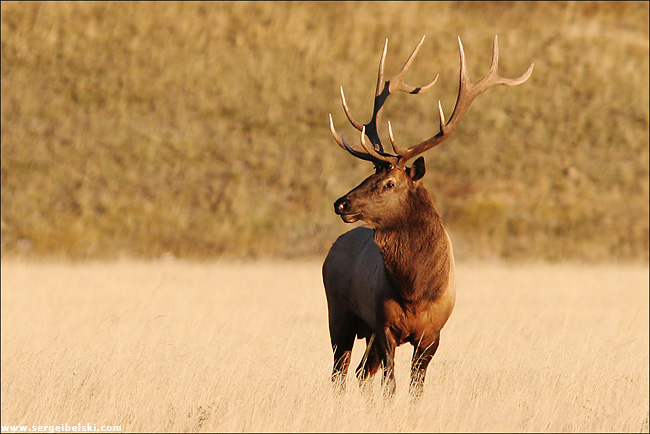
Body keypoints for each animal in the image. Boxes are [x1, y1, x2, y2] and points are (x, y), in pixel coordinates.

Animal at [320, 35, 532, 398]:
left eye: (389, 183)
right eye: (369, 174)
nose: (341, 203)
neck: (416, 290)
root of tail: (334, 247)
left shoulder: (433, 335)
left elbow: (416, 389)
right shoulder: (385, 325)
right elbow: (390, 386)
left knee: (360, 373)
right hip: (340, 314)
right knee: (339, 374)